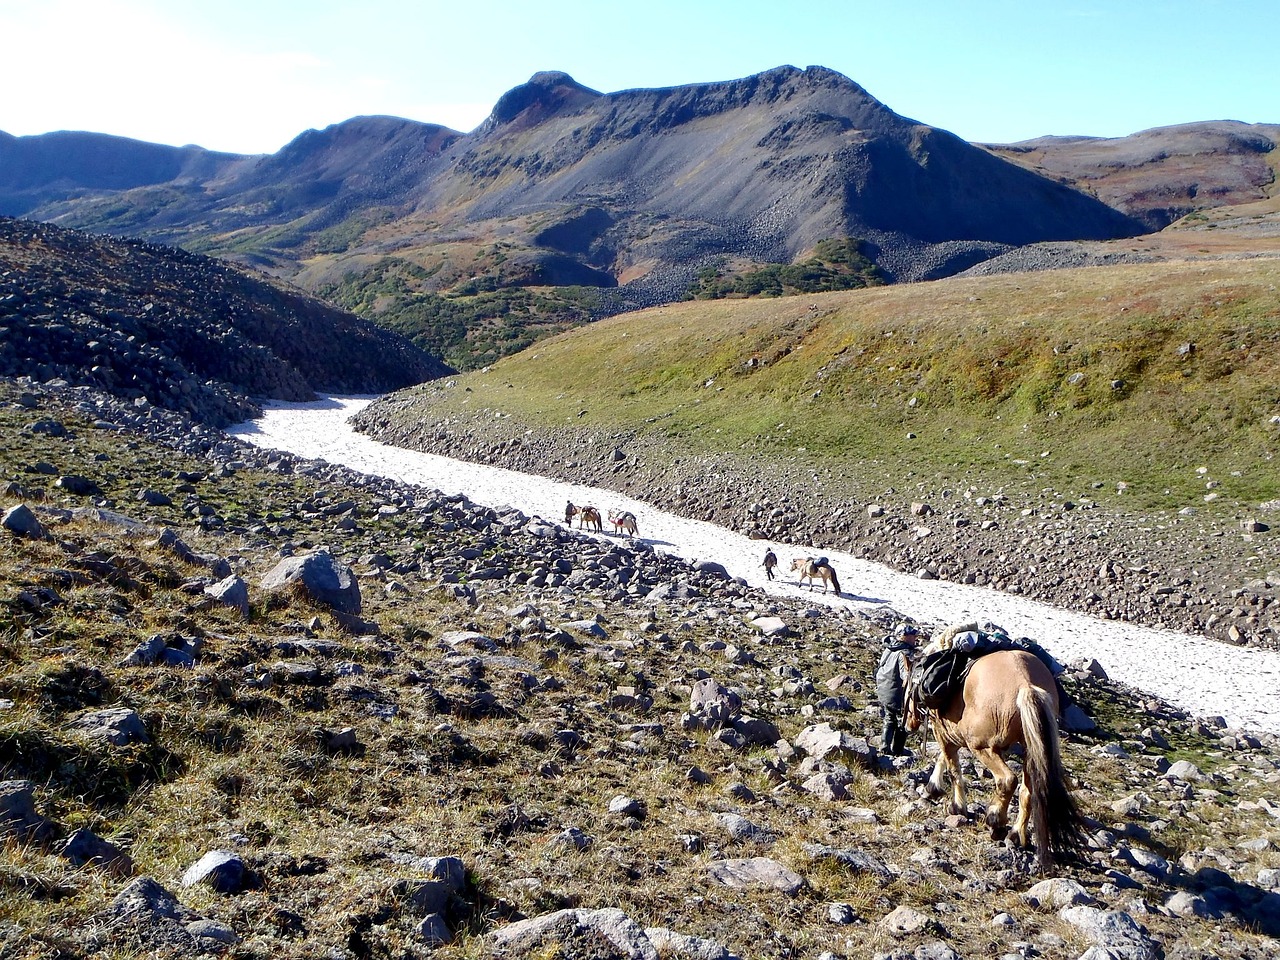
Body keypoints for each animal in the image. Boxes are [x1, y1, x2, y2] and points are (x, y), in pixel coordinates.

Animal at [906, 647, 1085, 870]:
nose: (909, 725)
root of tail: (1025, 683)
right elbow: (944, 759)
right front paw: (933, 787)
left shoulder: (944, 733)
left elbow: (952, 767)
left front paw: (954, 805)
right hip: (1029, 748)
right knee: (1027, 791)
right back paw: (1016, 834)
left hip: (983, 748)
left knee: (1007, 780)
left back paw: (995, 821)